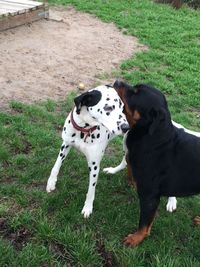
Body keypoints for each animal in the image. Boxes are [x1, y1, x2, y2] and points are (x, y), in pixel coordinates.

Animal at [46, 85, 129, 219]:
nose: (126, 127)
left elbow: (91, 190)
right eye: (108, 107)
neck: (84, 129)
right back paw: (112, 170)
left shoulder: (94, 166)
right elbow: (56, 165)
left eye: (122, 108)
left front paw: (88, 207)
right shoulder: (65, 145)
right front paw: (51, 182)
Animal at [113, 80, 200, 248]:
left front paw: (136, 239)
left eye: (136, 93)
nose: (117, 80)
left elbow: (144, 223)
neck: (154, 138)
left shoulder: (149, 195)